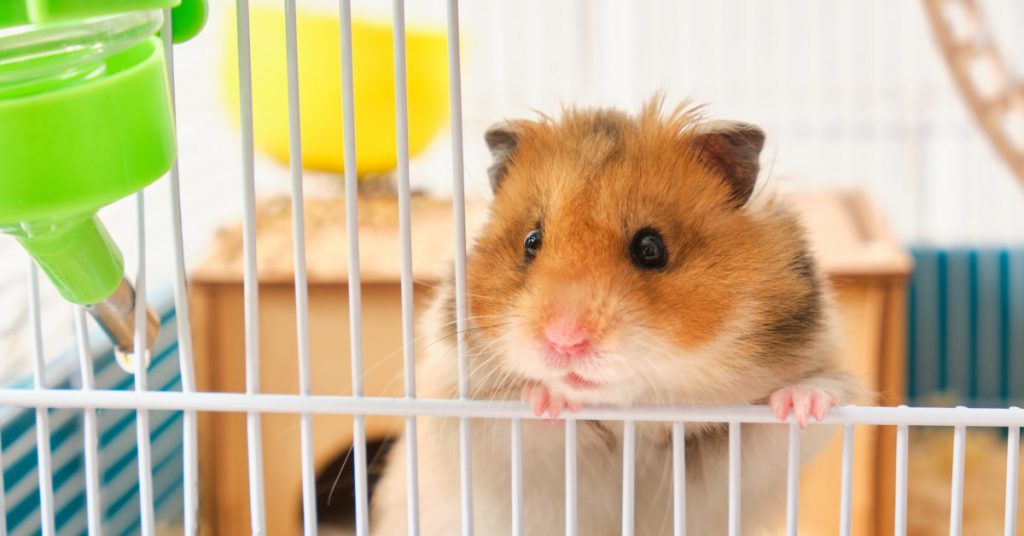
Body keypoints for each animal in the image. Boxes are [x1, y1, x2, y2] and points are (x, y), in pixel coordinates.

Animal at [370, 99, 862, 535]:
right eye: (531, 241)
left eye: (650, 248)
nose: (564, 340)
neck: (631, 420)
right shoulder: (478, 424)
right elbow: (530, 424)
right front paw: (549, 399)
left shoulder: (739, 450)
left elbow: (792, 406)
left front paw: (801, 406)